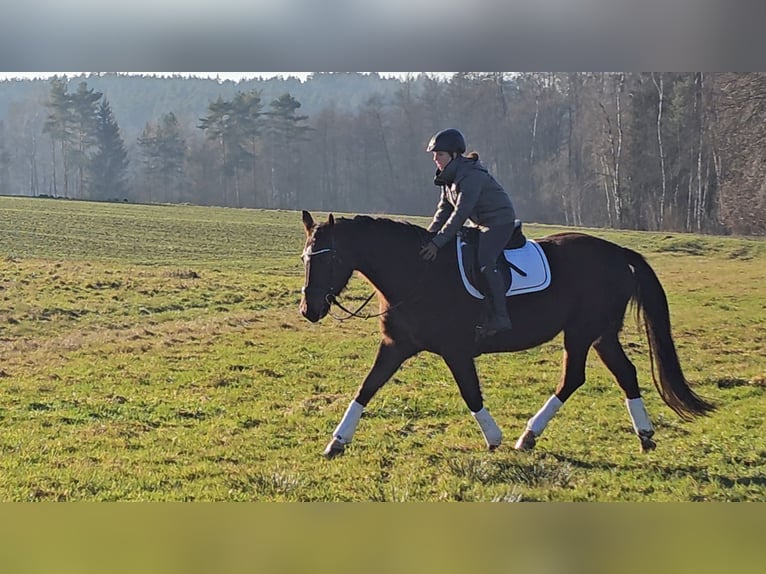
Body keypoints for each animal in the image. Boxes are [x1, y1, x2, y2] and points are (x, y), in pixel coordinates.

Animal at [298, 212, 712, 460]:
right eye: (305, 258)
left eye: (330, 257)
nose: (309, 309)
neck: (417, 274)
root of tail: (617, 252)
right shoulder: (396, 346)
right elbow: (366, 388)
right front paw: (337, 441)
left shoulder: (456, 351)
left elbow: (471, 393)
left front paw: (494, 438)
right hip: (601, 335)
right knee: (624, 374)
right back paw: (644, 434)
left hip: (582, 333)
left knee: (573, 378)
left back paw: (527, 436)